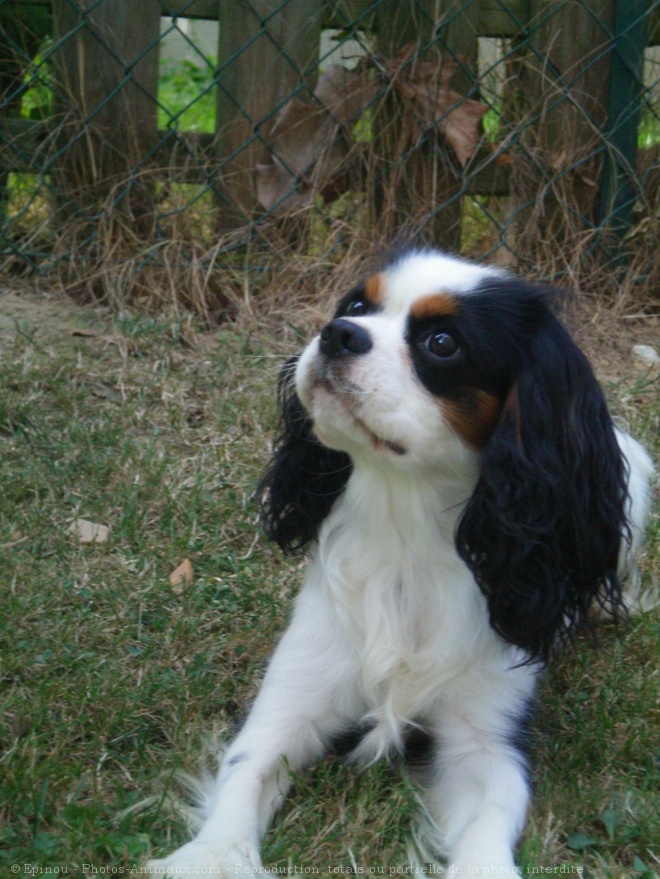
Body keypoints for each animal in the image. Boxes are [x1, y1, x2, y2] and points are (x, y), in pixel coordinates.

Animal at [146, 251, 656, 876]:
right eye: (356, 305)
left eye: (442, 342)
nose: (338, 333)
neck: (405, 522)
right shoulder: (289, 702)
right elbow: (247, 773)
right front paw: (212, 856)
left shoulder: (487, 741)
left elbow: (488, 822)